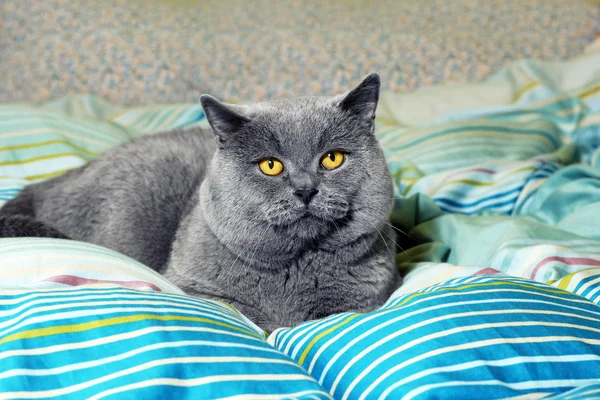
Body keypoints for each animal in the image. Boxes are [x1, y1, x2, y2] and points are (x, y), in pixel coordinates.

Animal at [2, 74, 404, 332]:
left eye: (332, 159)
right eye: (270, 165)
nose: (305, 189)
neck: (295, 269)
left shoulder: (367, 299)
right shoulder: (196, 290)